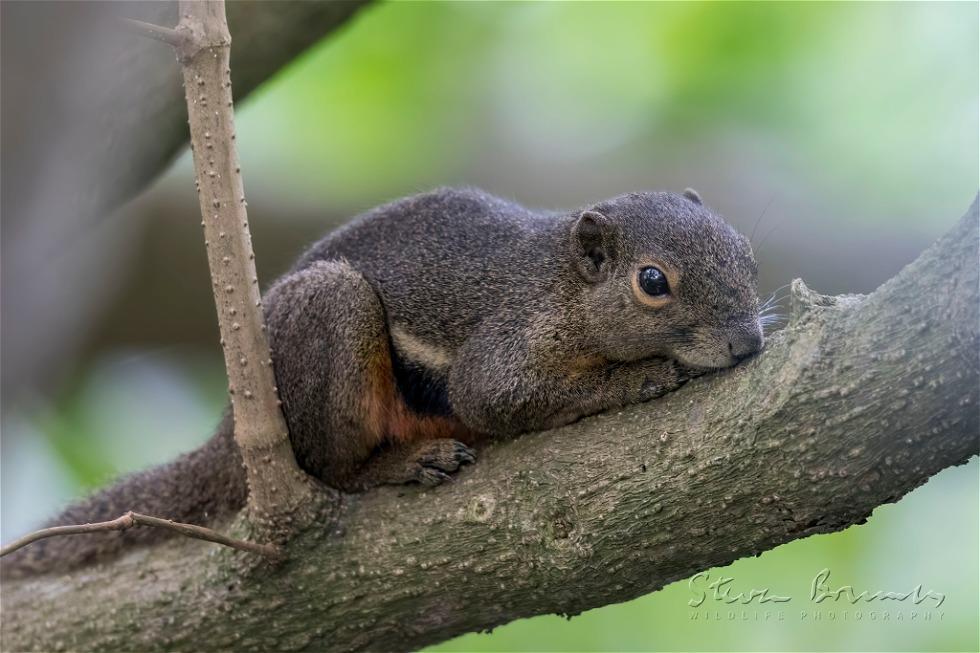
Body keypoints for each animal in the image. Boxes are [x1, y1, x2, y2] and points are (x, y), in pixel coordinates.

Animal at [3, 187, 763, 576]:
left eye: (749, 252)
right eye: (653, 281)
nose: (749, 340)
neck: (566, 288)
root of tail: (227, 436)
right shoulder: (506, 345)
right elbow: (496, 396)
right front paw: (645, 373)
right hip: (333, 322)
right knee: (333, 470)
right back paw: (404, 462)